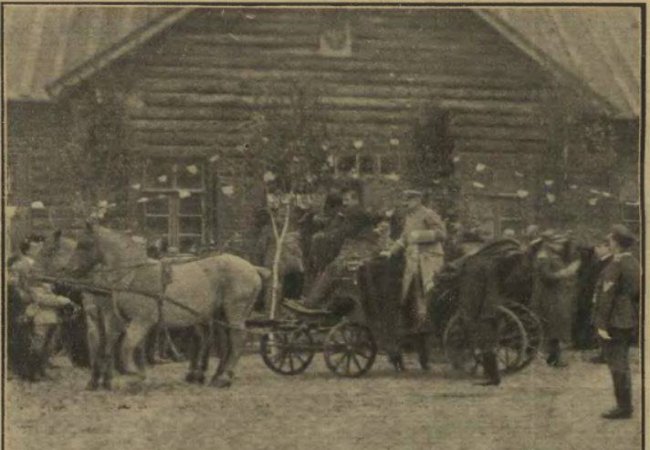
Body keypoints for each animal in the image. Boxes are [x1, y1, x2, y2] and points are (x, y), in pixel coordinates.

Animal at [65, 222, 267, 389]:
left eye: (84, 244)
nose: (70, 270)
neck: (134, 274)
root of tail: (252, 267)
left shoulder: (142, 320)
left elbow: (127, 345)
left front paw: (133, 373)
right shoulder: (127, 321)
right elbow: (128, 347)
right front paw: (139, 376)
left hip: (235, 313)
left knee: (238, 339)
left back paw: (223, 378)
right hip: (220, 315)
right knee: (225, 343)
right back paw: (217, 376)